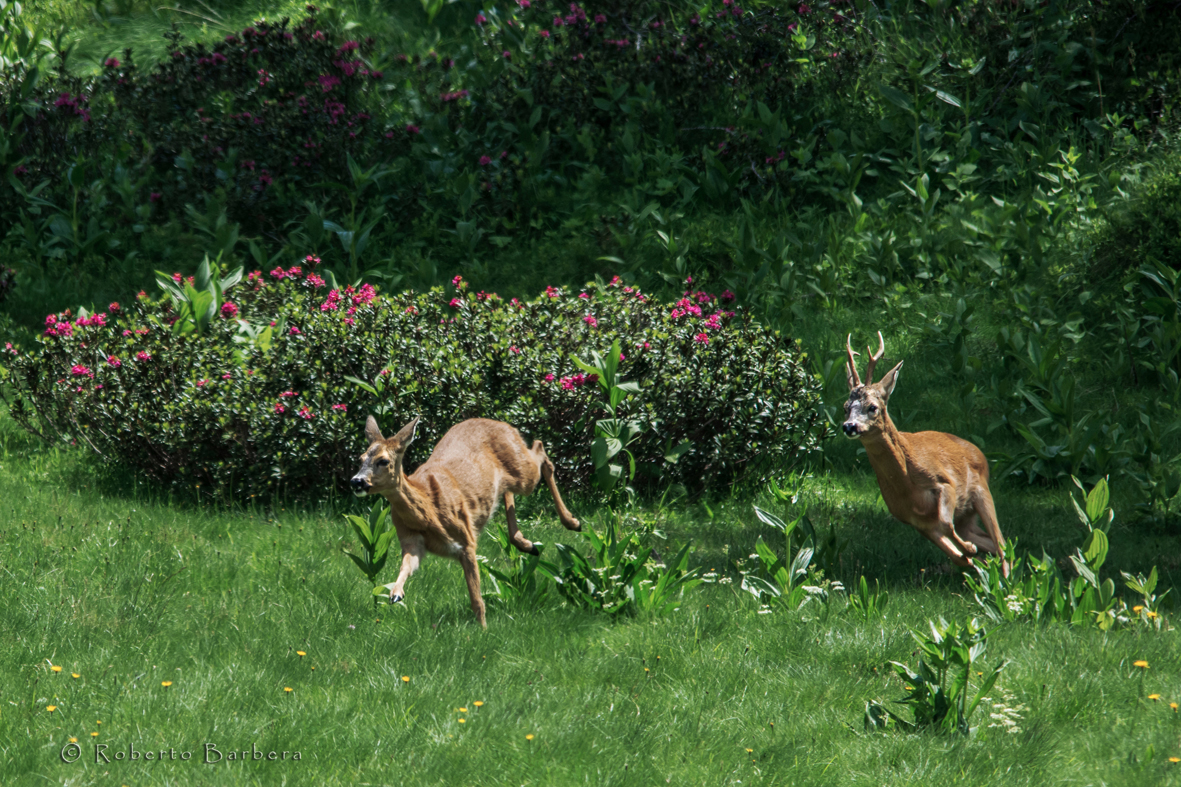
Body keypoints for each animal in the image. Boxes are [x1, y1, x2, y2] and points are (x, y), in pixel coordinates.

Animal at [349, 415, 581, 623]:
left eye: (383, 461)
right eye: (360, 459)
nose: (356, 481)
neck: (428, 511)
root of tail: (505, 425)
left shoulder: (466, 540)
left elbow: (477, 600)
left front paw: (483, 631)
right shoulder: (411, 540)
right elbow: (406, 565)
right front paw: (395, 593)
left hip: (524, 474)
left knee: (540, 451)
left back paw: (573, 522)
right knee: (509, 489)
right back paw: (528, 544)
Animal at [845, 330, 1010, 576]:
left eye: (872, 407)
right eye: (846, 407)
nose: (849, 426)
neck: (906, 485)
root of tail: (977, 451)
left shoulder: (944, 483)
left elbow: (945, 523)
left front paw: (969, 551)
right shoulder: (913, 520)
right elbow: (955, 555)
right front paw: (969, 556)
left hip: (981, 490)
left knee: (1001, 545)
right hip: (966, 514)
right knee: (991, 541)